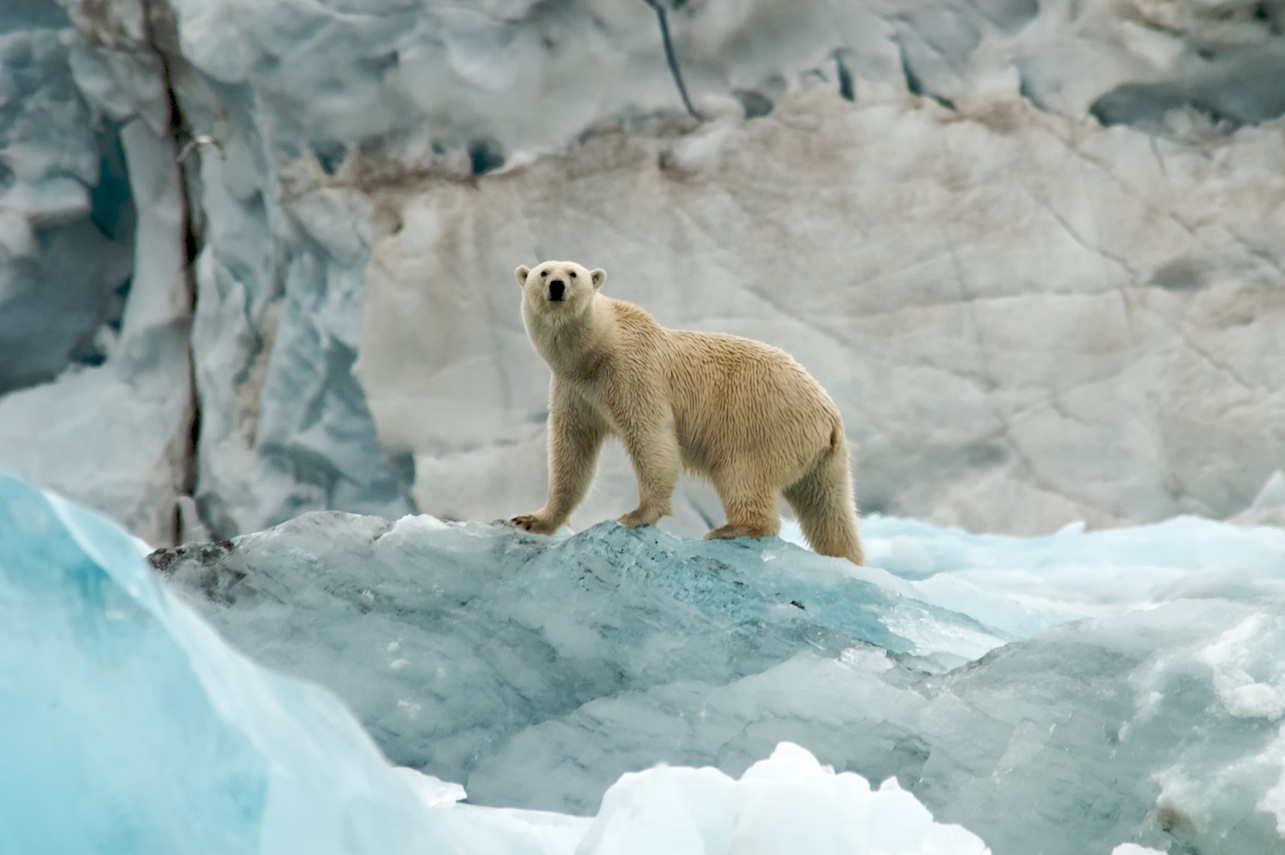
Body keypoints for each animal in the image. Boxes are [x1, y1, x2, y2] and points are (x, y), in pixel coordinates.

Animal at [508, 259, 863, 565]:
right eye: (542, 272)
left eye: (573, 273)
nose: (556, 286)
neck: (594, 351)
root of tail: (829, 415)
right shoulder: (575, 391)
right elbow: (572, 449)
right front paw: (532, 519)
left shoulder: (633, 373)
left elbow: (651, 436)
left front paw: (637, 515)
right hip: (824, 460)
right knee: (829, 510)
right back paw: (846, 558)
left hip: (762, 420)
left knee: (741, 471)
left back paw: (731, 528)